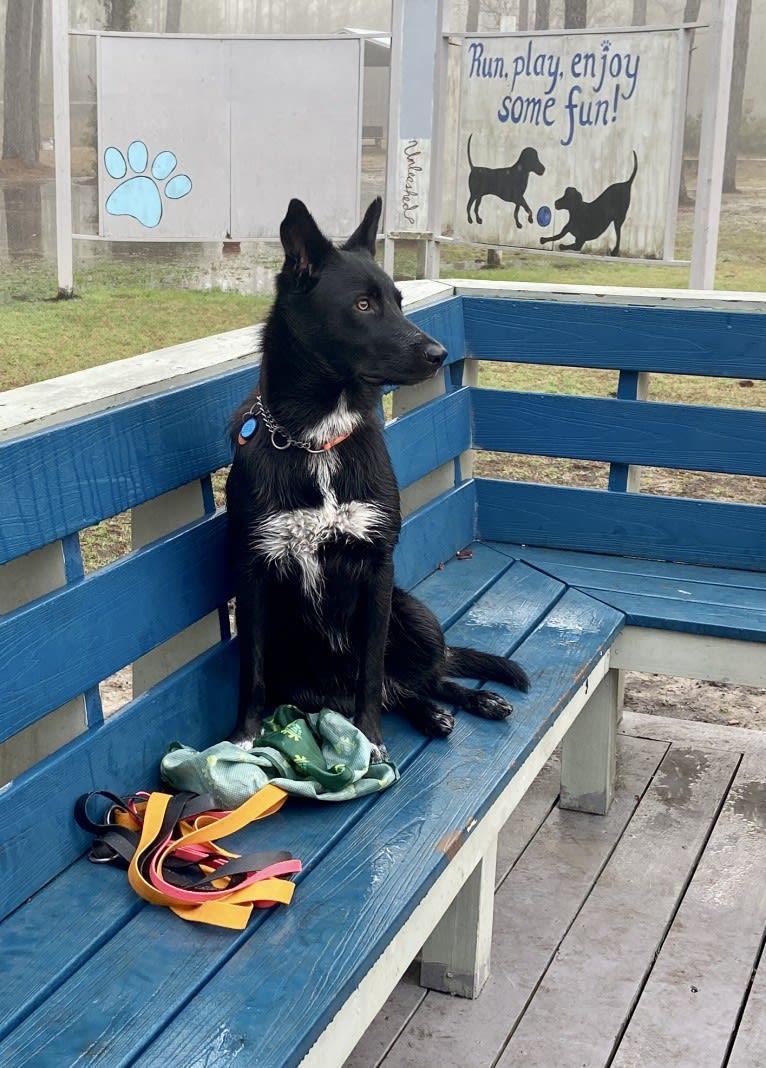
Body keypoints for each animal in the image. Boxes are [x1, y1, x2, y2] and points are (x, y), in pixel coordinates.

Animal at [224, 198, 529, 760]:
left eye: (400, 301)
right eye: (363, 305)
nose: (438, 354)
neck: (317, 440)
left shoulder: (377, 570)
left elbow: (370, 671)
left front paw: (370, 740)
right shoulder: (253, 576)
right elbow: (250, 673)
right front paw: (243, 738)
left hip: (415, 614)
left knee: (420, 676)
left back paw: (469, 700)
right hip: (299, 669)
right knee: (395, 691)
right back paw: (429, 714)